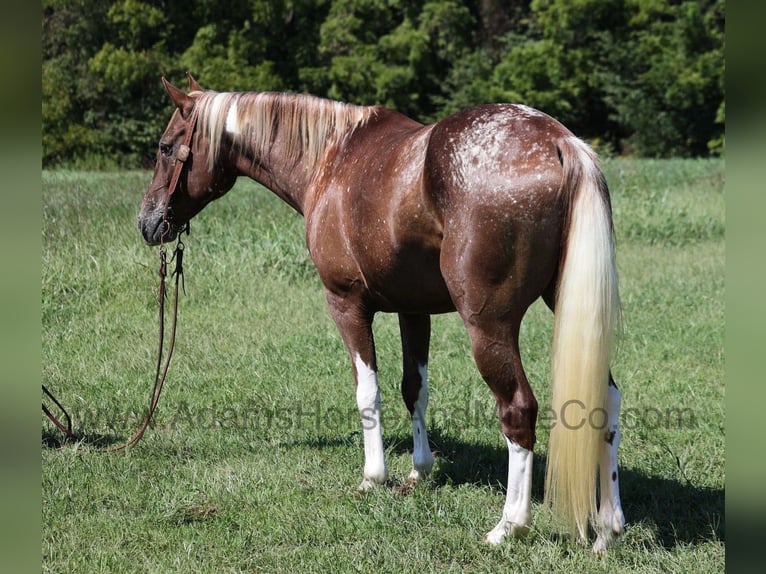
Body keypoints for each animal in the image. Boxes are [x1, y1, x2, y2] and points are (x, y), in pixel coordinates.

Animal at [138, 73, 625, 554]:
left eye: (165, 147)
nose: (147, 222)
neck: (332, 159)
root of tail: (560, 142)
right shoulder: (414, 311)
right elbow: (415, 389)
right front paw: (419, 471)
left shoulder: (347, 303)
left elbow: (367, 391)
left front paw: (374, 477)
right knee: (606, 399)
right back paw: (607, 527)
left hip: (489, 327)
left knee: (518, 409)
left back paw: (509, 526)